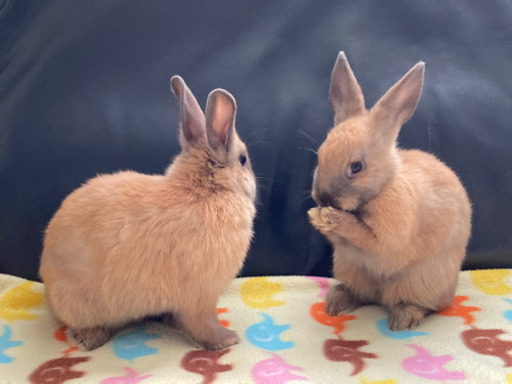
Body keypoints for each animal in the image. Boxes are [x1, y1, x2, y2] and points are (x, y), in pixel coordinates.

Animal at [39, 75, 256, 352]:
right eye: (243, 159)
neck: (205, 189)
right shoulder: (201, 297)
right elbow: (204, 324)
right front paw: (226, 340)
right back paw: (92, 340)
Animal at [308, 52, 472, 332]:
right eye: (320, 157)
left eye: (356, 167)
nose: (323, 199)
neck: (381, 189)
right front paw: (320, 218)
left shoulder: (388, 239)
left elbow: (366, 236)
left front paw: (335, 220)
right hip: (350, 269)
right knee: (361, 294)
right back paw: (336, 303)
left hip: (421, 282)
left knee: (425, 305)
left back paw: (402, 319)